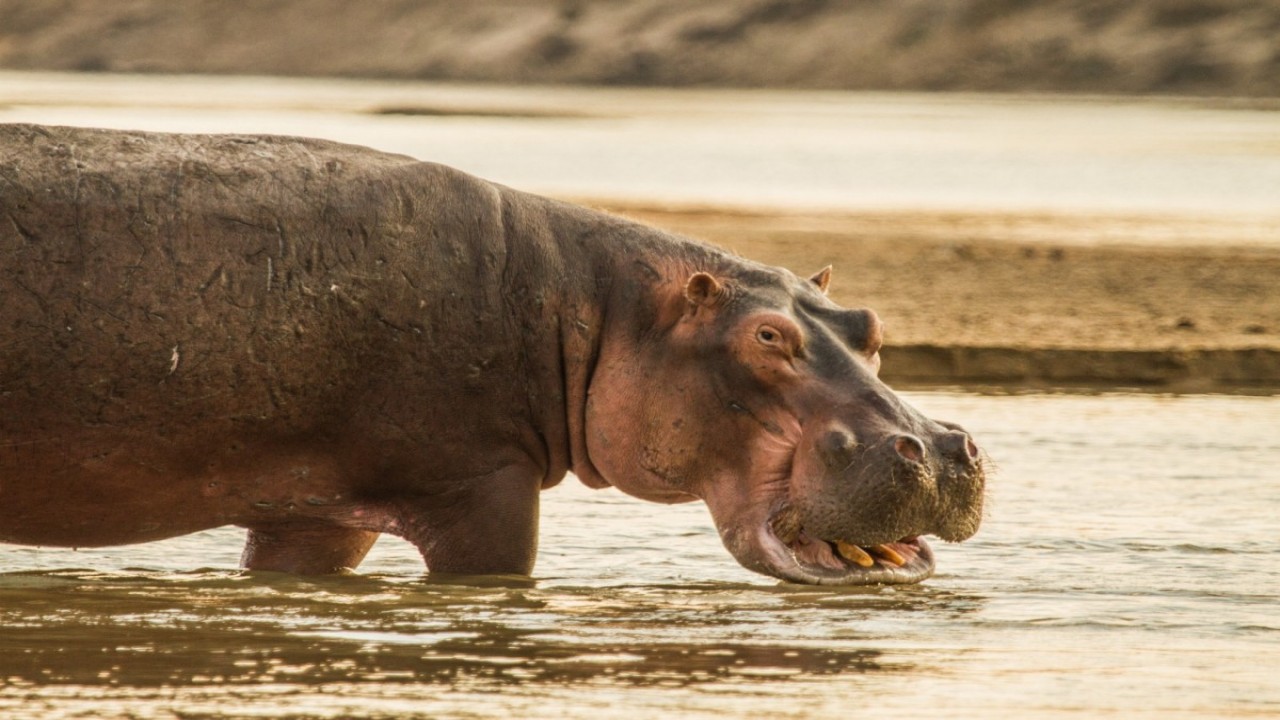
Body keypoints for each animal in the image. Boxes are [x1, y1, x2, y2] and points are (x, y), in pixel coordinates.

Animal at [0, 123, 985, 585]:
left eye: (868, 323)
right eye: (767, 337)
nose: (942, 448)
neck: (599, 310)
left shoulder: (314, 512)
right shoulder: (476, 485)